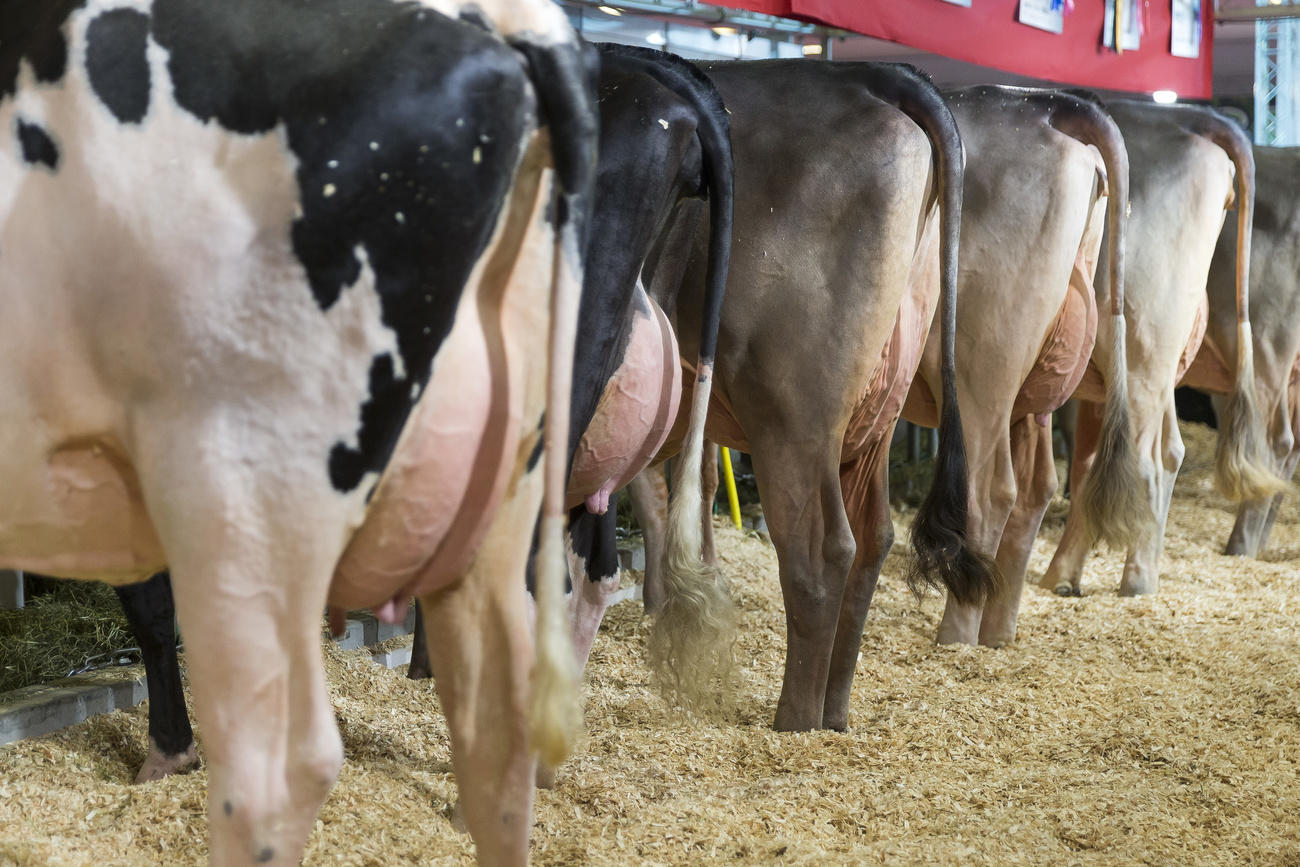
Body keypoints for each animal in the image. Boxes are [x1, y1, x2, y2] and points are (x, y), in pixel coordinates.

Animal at [639, 62, 993, 733]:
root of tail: (879, 73)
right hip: (875, 413)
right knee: (873, 540)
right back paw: (834, 710)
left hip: (791, 414)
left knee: (819, 550)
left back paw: (795, 719)